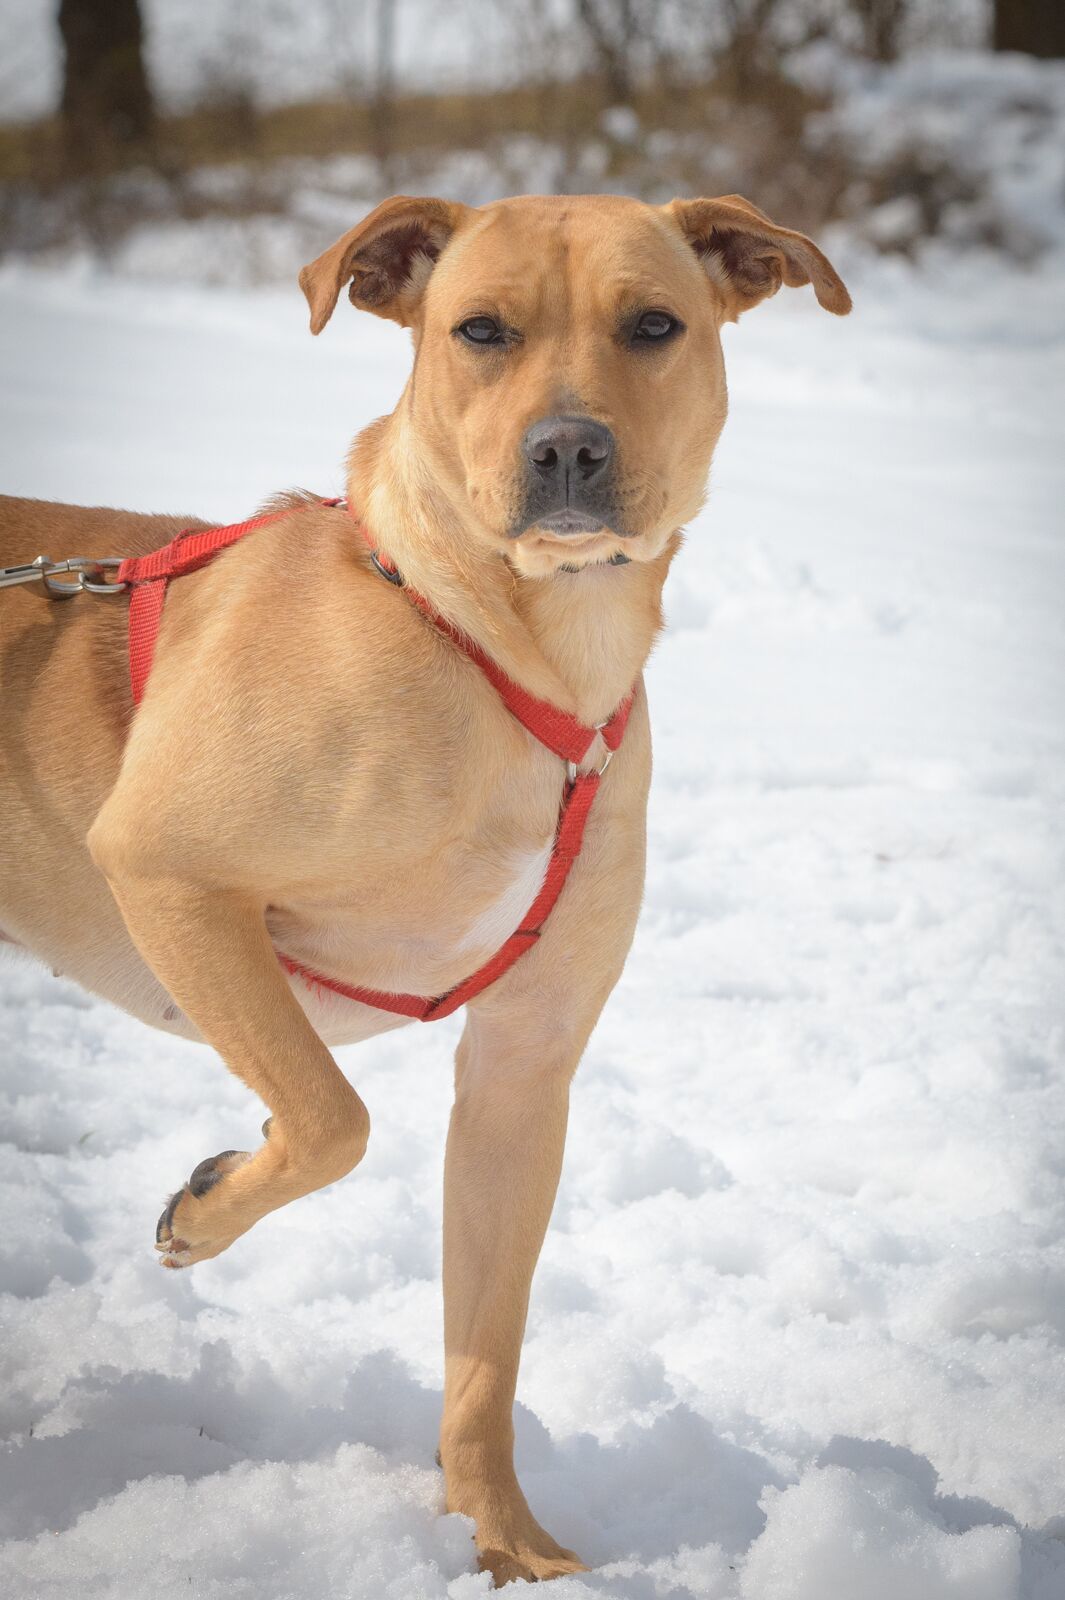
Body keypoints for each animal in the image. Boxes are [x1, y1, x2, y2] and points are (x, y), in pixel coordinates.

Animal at [0, 190, 844, 1587]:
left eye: (653, 324)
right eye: (480, 330)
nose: (569, 448)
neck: (512, 653)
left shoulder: (522, 1072)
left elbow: (484, 1352)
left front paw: (503, 1543)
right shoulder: (167, 870)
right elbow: (333, 1119)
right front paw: (206, 1206)